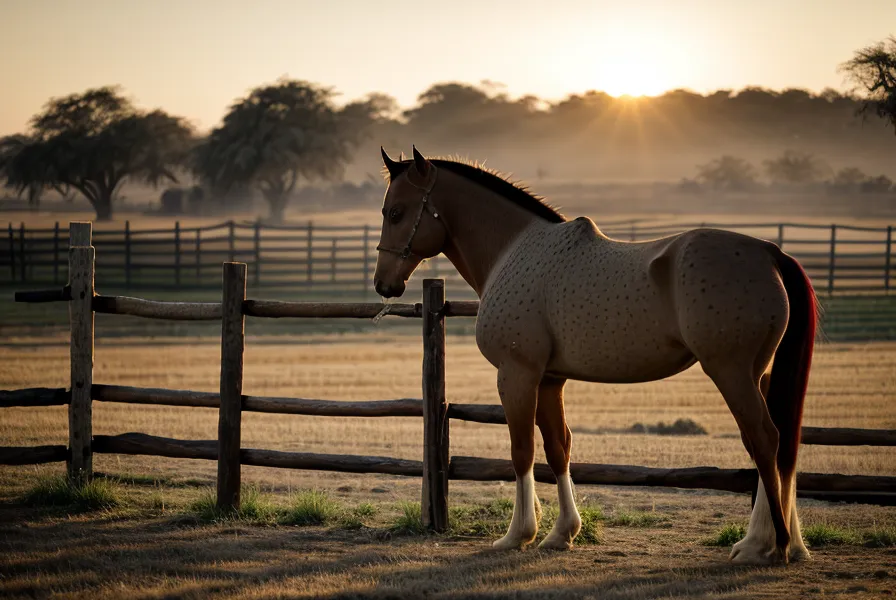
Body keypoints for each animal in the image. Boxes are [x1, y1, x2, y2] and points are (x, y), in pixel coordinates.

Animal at [373, 147, 817, 565]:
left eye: (395, 212)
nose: (383, 284)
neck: (513, 250)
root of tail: (770, 253)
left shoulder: (517, 375)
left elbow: (522, 451)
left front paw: (519, 534)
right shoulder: (550, 380)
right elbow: (558, 448)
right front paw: (562, 533)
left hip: (731, 373)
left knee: (764, 440)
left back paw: (770, 546)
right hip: (758, 375)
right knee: (777, 445)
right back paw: (774, 543)